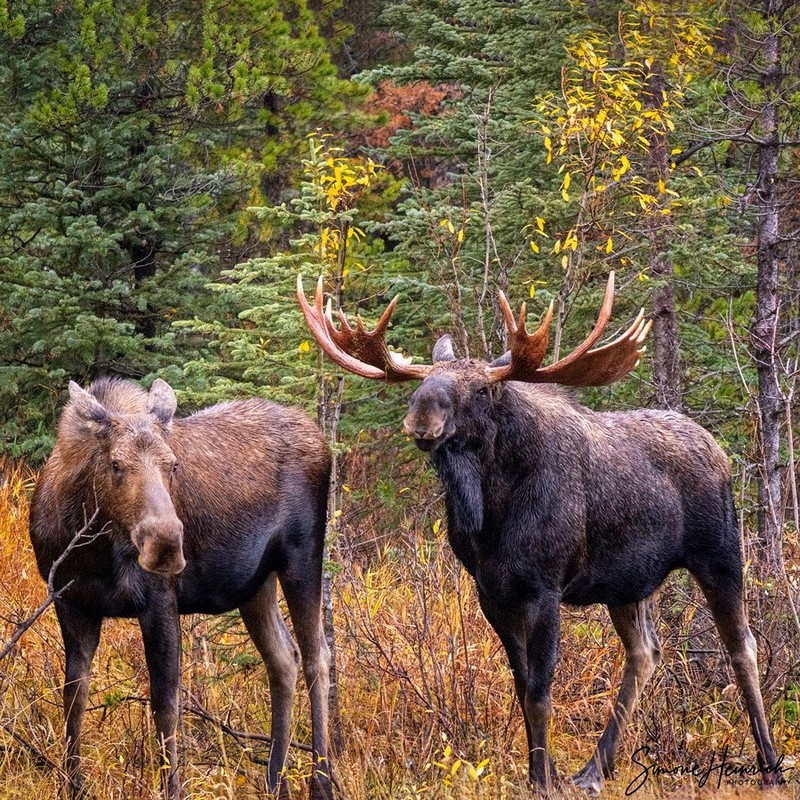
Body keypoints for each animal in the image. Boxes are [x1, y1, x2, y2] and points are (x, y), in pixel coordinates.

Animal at [28, 376, 334, 800]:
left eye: (172, 464)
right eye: (116, 464)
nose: (166, 543)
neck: (90, 543)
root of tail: (321, 439)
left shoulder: (159, 600)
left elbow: (166, 704)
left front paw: (171, 787)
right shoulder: (71, 602)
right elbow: (74, 696)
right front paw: (73, 785)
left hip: (303, 558)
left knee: (317, 657)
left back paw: (320, 781)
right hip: (255, 585)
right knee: (283, 658)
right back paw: (275, 780)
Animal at [298, 274, 780, 792]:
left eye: (482, 390)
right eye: (424, 382)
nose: (422, 417)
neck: (491, 517)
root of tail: (719, 449)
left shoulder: (545, 587)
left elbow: (539, 694)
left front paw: (541, 780)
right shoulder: (492, 592)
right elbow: (521, 683)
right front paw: (543, 771)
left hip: (720, 552)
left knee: (743, 647)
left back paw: (770, 764)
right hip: (627, 583)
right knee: (645, 652)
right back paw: (593, 770)